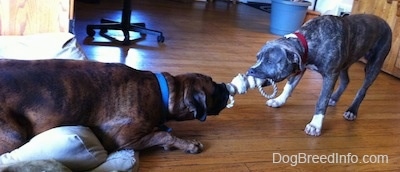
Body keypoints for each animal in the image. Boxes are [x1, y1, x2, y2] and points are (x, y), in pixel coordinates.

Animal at [0, 59, 230, 155]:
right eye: (214, 88)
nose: (225, 86)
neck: (165, 91)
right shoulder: (123, 138)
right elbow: (163, 134)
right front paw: (188, 144)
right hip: (15, 135)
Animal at [245, 13, 392, 136]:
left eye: (270, 61)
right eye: (257, 58)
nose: (250, 70)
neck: (308, 41)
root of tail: (385, 23)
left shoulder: (330, 76)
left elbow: (321, 100)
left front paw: (315, 124)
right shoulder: (301, 67)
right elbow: (289, 87)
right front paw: (279, 100)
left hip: (374, 65)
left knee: (362, 90)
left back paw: (352, 110)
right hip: (345, 63)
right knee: (346, 81)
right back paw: (334, 98)